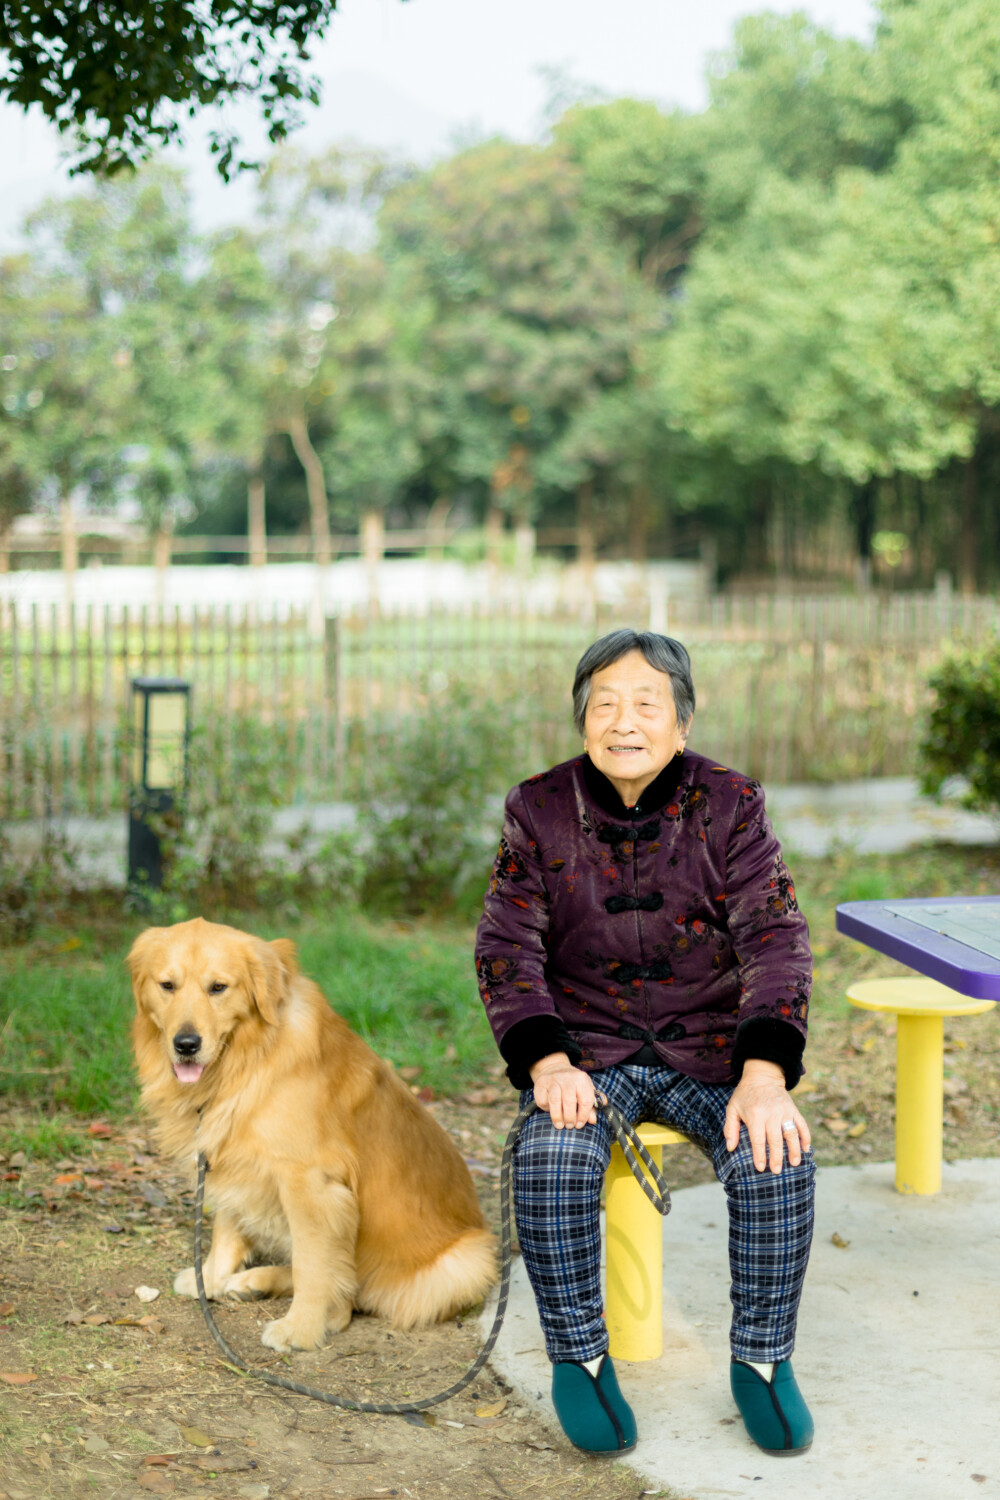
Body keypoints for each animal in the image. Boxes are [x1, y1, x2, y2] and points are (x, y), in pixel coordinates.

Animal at [128, 918, 497, 1356]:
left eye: (218, 987)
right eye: (167, 985)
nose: (186, 1044)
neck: (246, 1061)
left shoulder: (309, 1182)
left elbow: (312, 1264)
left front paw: (301, 1328)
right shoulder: (229, 1157)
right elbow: (226, 1227)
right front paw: (213, 1278)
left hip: (466, 1261)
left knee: (350, 1295)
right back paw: (251, 1283)